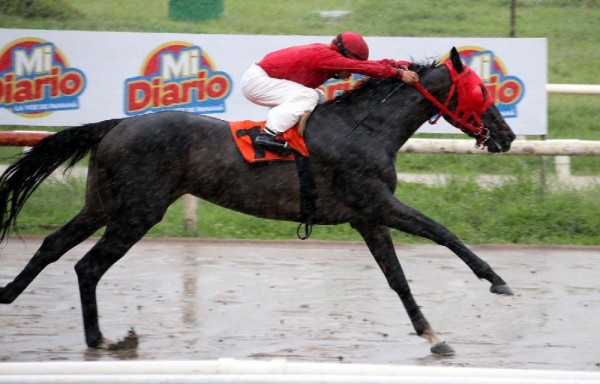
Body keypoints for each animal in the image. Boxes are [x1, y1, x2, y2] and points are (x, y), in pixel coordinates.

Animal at [0, 47, 516, 354]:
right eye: (480, 89)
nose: (507, 136)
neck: (365, 130)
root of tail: (117, 124)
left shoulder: (368, 218)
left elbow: (397, 278)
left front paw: (432, 334)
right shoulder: (376, 203)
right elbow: (443, 233)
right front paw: (496, 281)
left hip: (103, 205)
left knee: (53, 245)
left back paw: (9, 295)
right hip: (137, 212)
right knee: (88, 265)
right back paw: (100, 339)